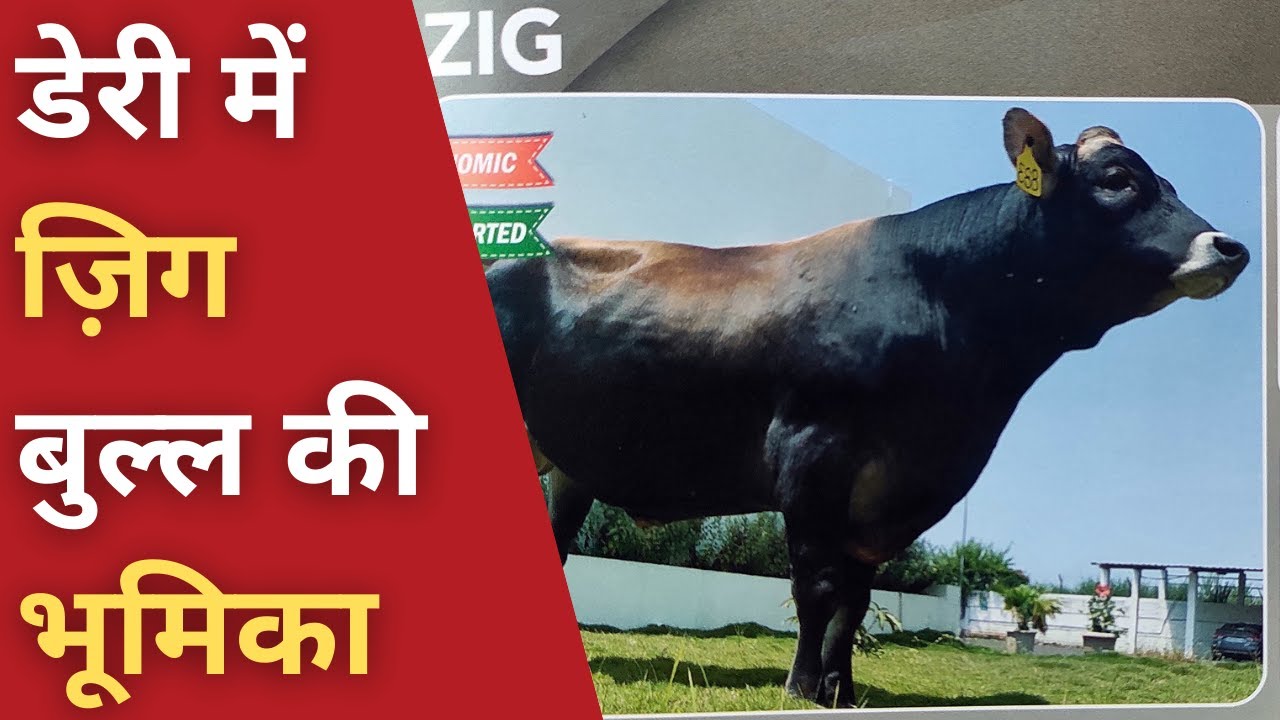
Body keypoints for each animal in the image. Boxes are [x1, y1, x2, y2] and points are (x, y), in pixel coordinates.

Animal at [484, 108, 1249, 707]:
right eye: (1119, 181)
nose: (1231, 246)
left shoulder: (885, 487)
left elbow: (854, 597)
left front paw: (840, 690)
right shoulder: (813, 453)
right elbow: (817, 584)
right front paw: (800, 687)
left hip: (567, 465)